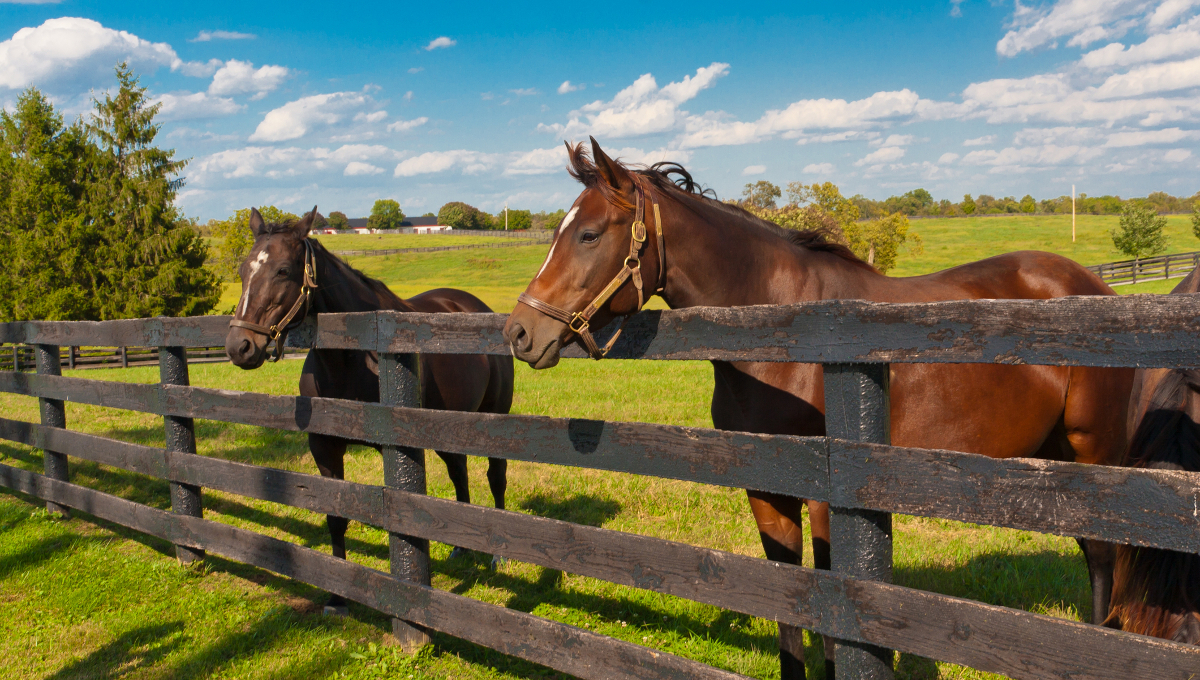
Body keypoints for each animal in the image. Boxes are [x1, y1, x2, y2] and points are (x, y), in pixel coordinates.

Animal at [226, 206, 513, 611]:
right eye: (242, 270)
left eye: (282, 270)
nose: (240, 346)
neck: (351, 357)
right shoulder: (325, 447)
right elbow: (335, 515)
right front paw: (336, 596)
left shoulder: (397, 447)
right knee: (459, 472)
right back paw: (461, 549)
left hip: (495, 418)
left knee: (495, 476)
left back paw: (497, 556)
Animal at [504, 139, 1132, 680]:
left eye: (588, 234)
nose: (520, 332)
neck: (784, 332)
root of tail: (1091, 284)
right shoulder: (766, 490)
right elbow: (788, 602)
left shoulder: (829, 499)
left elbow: (829, 608)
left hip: (1095, 454)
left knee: (1109, 556)